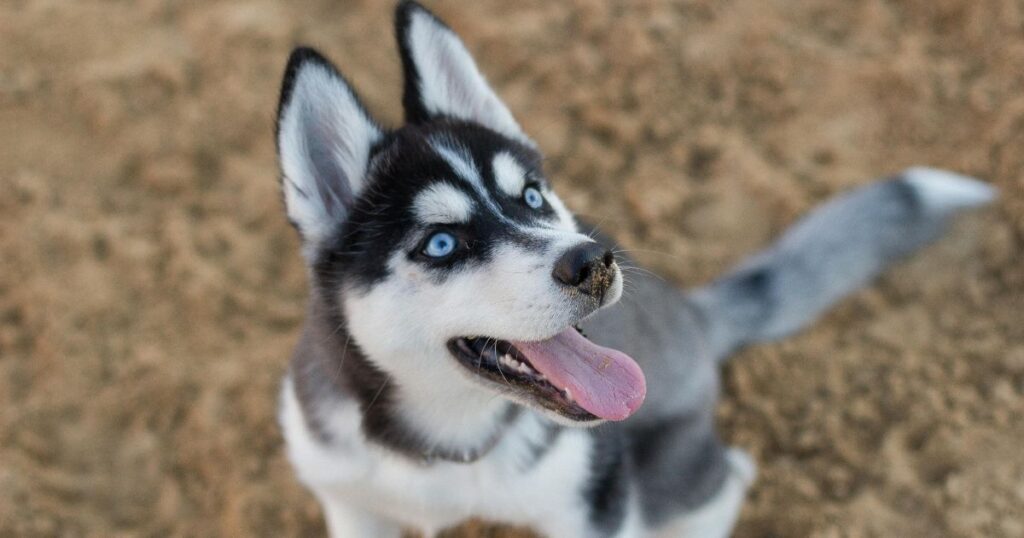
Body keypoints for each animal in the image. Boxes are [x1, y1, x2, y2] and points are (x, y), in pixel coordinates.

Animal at [276, 2, 995, 532]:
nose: (593, 261)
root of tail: (693, 314)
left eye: (531, 196)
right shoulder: (350, 502)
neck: (445, 450)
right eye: (441, 244)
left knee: (727, 477)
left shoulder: (591, 506)